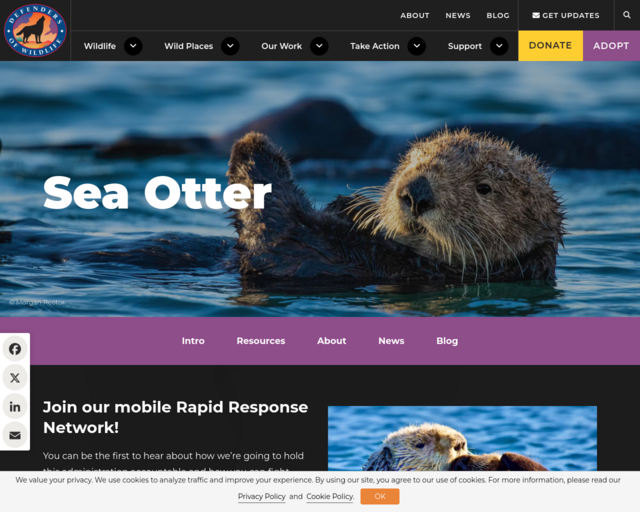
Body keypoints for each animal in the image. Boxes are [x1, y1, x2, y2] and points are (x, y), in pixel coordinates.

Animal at [228, 130, 565, 282]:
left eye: (484, 188)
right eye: (414, 161)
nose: (416, 193)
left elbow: (277, 230)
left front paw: (252, 144)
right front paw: (352, 205)